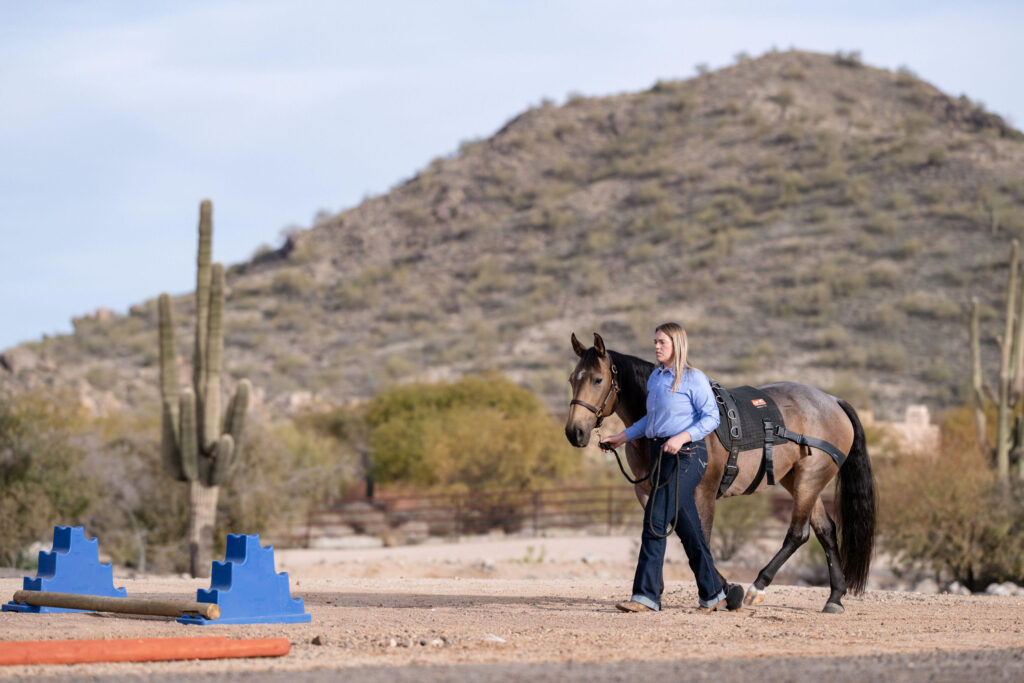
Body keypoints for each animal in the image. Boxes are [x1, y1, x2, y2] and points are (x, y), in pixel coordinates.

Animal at [565, 331, 876, 614]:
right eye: (572, 379)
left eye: (597, 379)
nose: (574, 431)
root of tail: (833, 401)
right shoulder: (651, 492)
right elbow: (665, 532)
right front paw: (656, 594)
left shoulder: (703, 492)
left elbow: (700, 538)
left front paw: (725, 593)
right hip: (800, 481)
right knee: (826, 530)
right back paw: (834, 597)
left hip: (808, 481)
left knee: (798, 534)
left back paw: (757, 588)